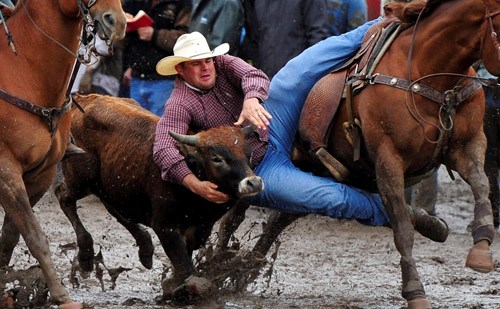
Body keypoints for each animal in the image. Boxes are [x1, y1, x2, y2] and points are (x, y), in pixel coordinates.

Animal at [0, 0, 125, 306]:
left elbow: (11, 234)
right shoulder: (5, 169)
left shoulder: (40, 175)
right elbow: (34, 234)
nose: (117, 22)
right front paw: (60, 294)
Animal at [294, 0, 500, 306]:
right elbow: (402, 228)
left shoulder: (467, 145)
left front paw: (482, 250)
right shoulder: (388, 160)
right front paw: (415, 290)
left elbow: (481, 184)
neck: (429, 73)